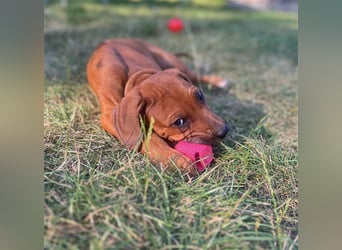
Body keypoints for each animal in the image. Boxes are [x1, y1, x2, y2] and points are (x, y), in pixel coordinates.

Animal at [87, 38, 228, 177]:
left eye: (199, 95)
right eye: (179, 122)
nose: (224, 131)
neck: (135, 76)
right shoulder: (109, 115)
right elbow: (149, 139)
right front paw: (177, 160)